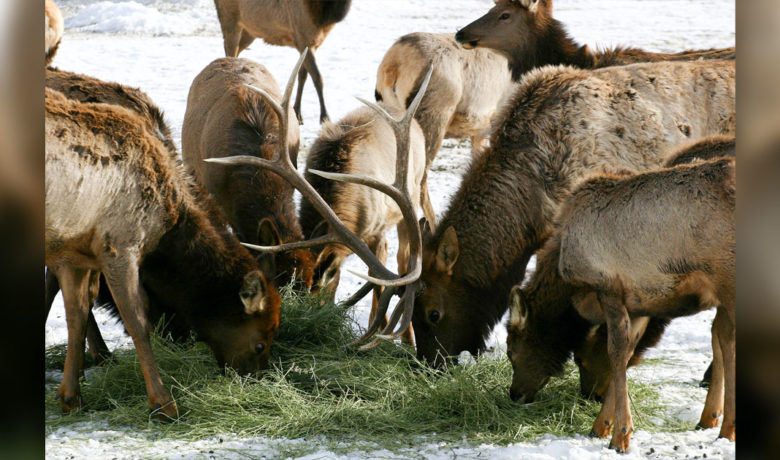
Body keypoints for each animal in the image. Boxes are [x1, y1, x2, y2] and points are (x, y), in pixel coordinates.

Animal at [46, 87, 282, 420]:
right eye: (260, 343)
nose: (255, 379)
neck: (167, 223)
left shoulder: (72, 253)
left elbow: (76, 316)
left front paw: (71, 397)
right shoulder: (119, 245)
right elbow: (138, 323)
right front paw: (163, 403)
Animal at [213, 0, 352, 124]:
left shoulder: (310, 44)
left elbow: (302, 76)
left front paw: (297, 112)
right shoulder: (303, 39)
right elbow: (317, 78)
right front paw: (324, 117)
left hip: (250, 31)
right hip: (230, 21)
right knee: (229, 52)